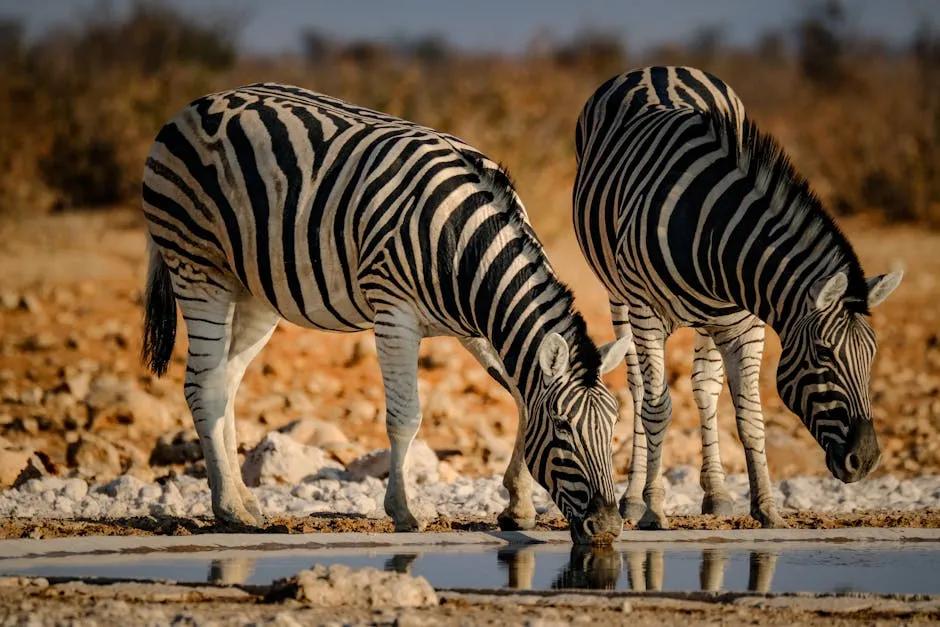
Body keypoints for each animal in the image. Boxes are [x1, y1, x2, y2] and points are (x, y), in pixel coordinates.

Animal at [140, 82, 632, 544]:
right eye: (563, 429)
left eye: (612, 428)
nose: (608, 527)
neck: (465, 246)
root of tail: (193, 106)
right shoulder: (395, 314)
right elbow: (406, 417)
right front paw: (403, 511)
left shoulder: (477, 327)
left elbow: (521, 397)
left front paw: (518, 505)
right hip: (197, 267)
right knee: (203, 385)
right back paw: (228, 509)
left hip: (254, 290)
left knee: (227, 382)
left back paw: (244, 502)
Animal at [572, 67, 904, 528]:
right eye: (823, 355)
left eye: (871, 354)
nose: (867, 460)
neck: (710, 229)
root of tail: (661, 67)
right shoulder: (646, 312)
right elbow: (657, 406)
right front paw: (654, 508)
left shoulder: (746, 323)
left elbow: (749, 415)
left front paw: (766, 507)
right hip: (619, 295)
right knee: (639, 390)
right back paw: (634, 498)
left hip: (712, 321)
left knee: (705, 388)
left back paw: (716, 493)